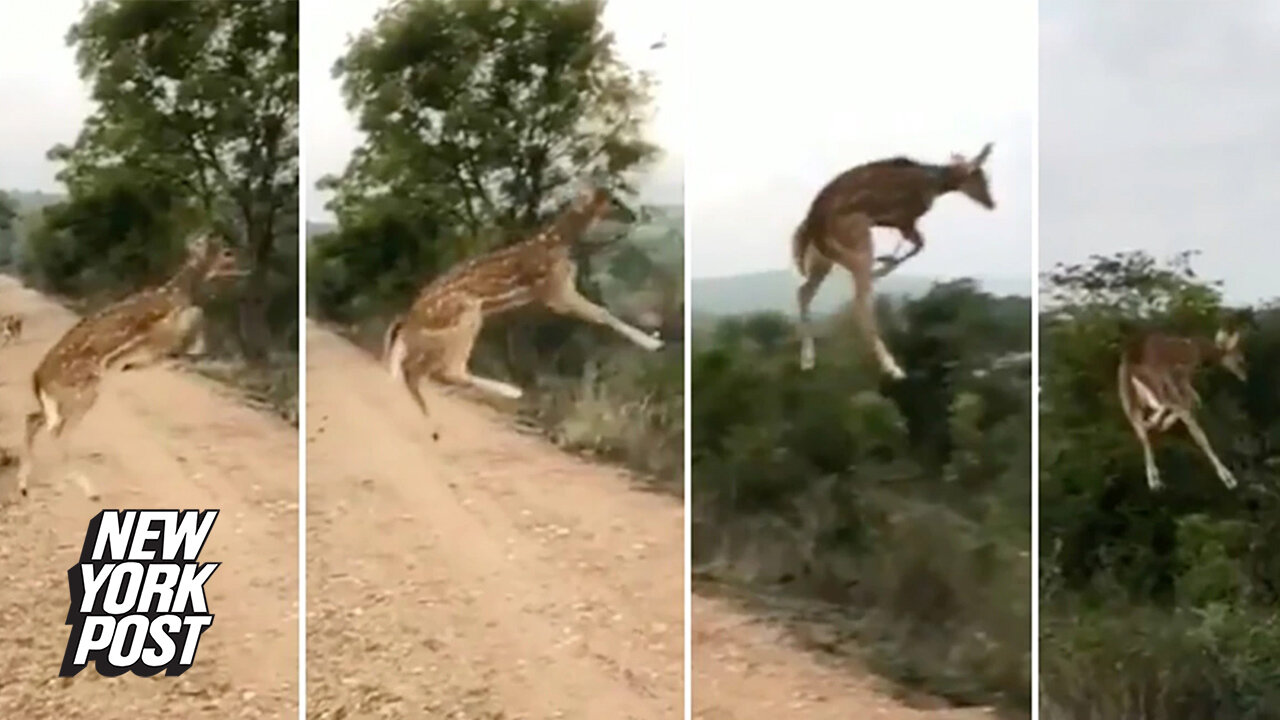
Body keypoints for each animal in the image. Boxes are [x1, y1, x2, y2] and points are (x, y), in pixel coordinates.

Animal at [16, 233, 241, 497]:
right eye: (226, 252)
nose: (242, 262)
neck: (174, 295)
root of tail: (38, 377)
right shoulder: (162, 339)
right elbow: (190, 328)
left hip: (63, 399)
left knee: (34, 420)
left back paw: (26, 485)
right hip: (82, 393)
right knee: (59, 431)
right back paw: (85, 488)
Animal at [378, 184, 660, 417]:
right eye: (613, 201)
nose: (634, 215)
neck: (559, 244)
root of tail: (409, 318)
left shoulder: (556, 291)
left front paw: (653, 337)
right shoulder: (556, 291)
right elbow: (602, 312)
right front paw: (653, 342)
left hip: (437, 336)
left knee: (418, 370)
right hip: (466, 315)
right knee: (448, 369)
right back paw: (513, 391)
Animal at [788, 140, 998, 376]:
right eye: (979, 177)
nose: (991, 203)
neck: (933, 184)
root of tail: (811, 230)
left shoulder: (901, 223)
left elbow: (918, 246)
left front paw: (885, 262)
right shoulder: (904, 219)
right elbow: (920, 245)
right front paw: (882, 267)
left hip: (823, 260)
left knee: (804, 292)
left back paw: (807, 360)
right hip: (858, 241)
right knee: (859, 304)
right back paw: (893, 368)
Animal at [1116, 324, 1244, 486]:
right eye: (1240, 359)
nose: (1244, 376)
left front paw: (1156, 421)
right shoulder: (1180, 379)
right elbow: (1193, 402)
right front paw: (1160, 422)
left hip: (1128, 397)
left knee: (1142, 434)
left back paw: (1154, 479)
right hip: (1161, 389)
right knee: (1196, 431)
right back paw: (1228, 478)